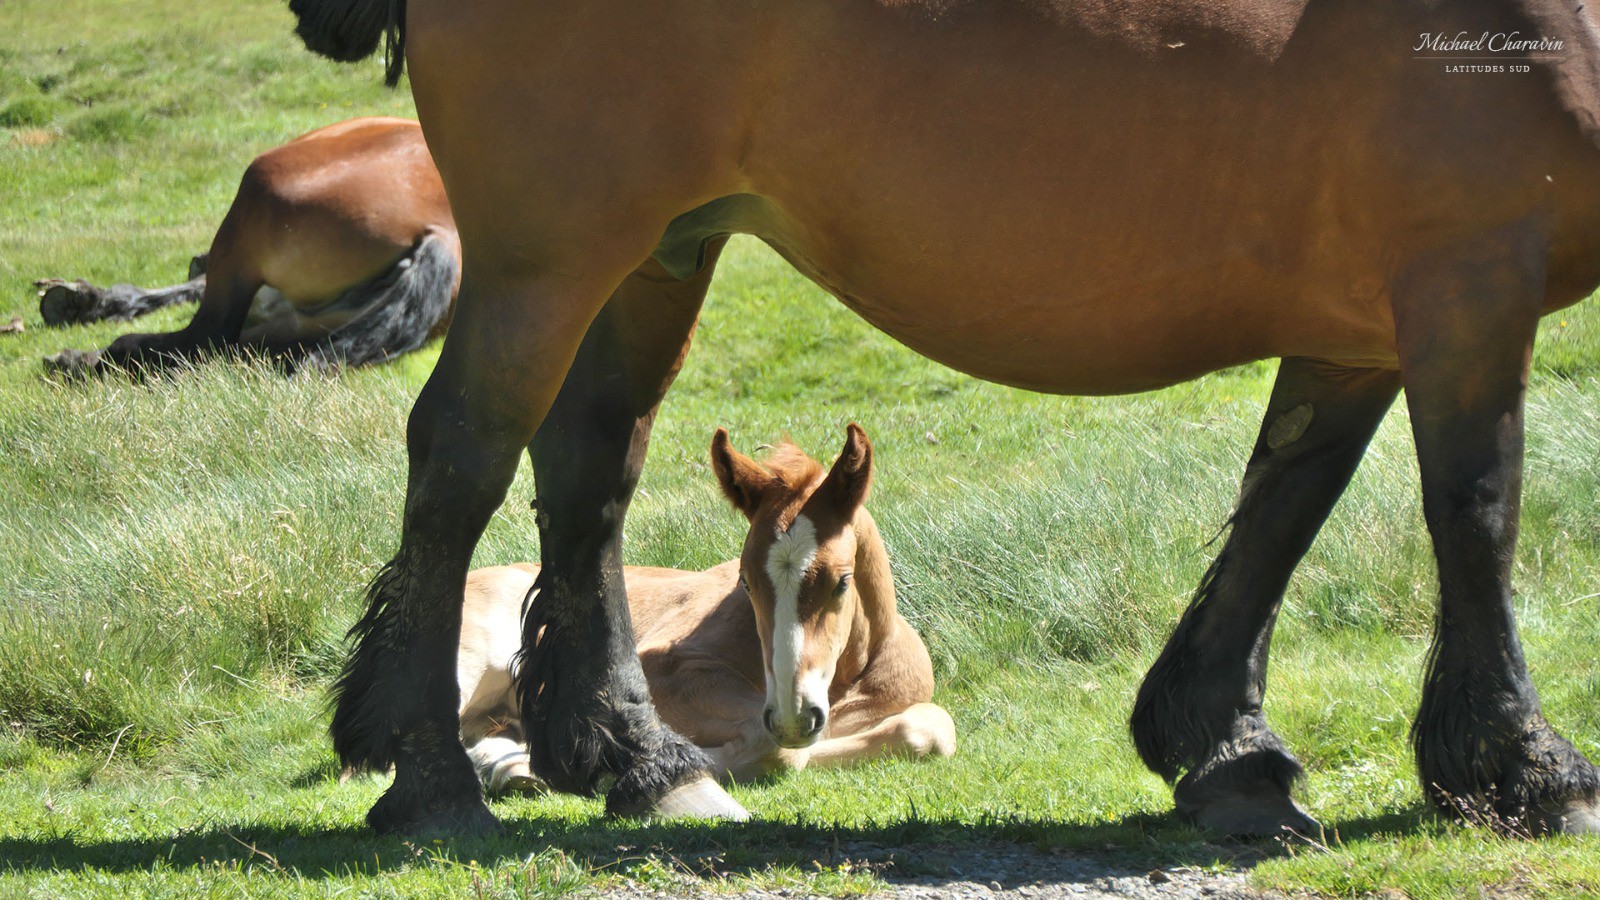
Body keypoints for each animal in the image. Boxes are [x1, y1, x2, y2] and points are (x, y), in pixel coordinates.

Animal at [43, 117, 457, 373]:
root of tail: (444, 235)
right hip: (302, 323)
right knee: (228, 346)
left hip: (257, 189)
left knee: (204, 337)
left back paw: (86, 356)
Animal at [454, 425, 947, 797]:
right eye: (745, 581)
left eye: (842, 581)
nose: (793, 716)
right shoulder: (662, 671)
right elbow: (778, 750)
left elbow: (928, 728)